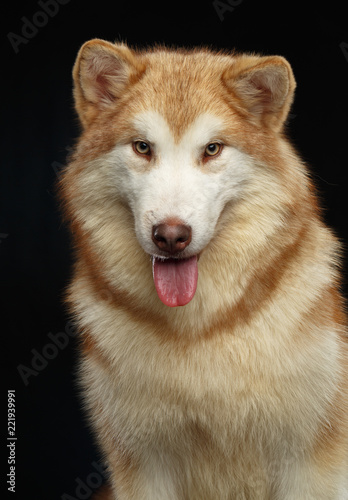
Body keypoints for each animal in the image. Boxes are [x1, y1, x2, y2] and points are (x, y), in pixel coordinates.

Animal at [60, 40, 348, 500]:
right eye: (143, 147)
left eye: (212, 149)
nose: (171, 235)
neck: (201, 330)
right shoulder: (143, 467)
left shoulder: (312, 461)